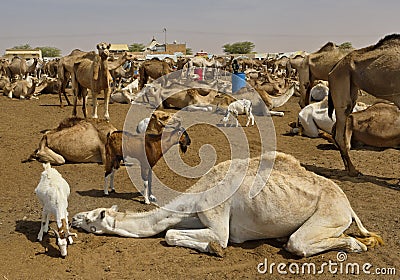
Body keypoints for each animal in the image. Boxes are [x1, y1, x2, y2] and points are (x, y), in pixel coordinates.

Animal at [72, 152, 384, 258]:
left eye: (91, 218)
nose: (74, 219)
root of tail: (347, 203)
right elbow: (170, 231)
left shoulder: (218, 219)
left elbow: (172, 235)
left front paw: (215, 249)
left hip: (330, 215)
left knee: (300, 243)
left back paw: (355, 245)